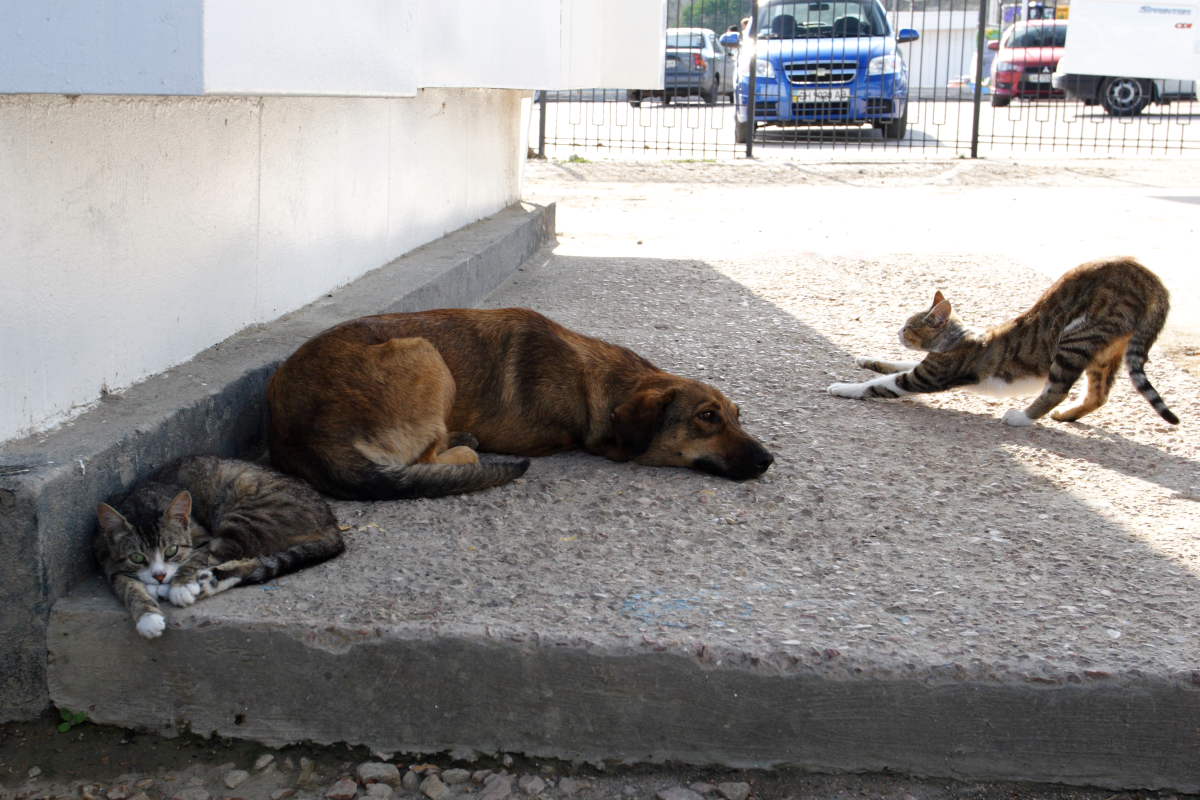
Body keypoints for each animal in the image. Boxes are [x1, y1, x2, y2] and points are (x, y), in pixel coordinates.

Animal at [96, 455, 345, 638]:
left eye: (171, 551)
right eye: (137, 558)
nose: (159, 576)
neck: (141, 504)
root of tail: (331, 522)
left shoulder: (202, 538)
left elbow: (195, 558)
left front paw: (179, 587)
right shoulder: (106, 560)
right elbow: (126, 585)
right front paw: (148, 617)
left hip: (246, 515)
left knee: (237, 555)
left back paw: (197, 583)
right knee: (253, 561)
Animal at [267, 309, 772, 501]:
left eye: (737, 417)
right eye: (707, 417)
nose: (769, 459)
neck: (594, 381)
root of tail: (299, 436)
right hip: (425, 352)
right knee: (428, 455)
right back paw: (463, 446)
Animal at [830, 260, 1176, 429]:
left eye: (909, 326)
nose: (898, 332)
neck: (958, 338)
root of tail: (1150, 278)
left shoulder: (929, 375)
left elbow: (883, 383)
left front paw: (844, 387)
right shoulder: (926, 364)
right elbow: (892, 364)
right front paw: (866, 359)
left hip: (1076, 338)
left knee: (1058, 389)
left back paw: (1022, 418)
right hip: (1104, 353)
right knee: (1099, 394)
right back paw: (1067, 416)